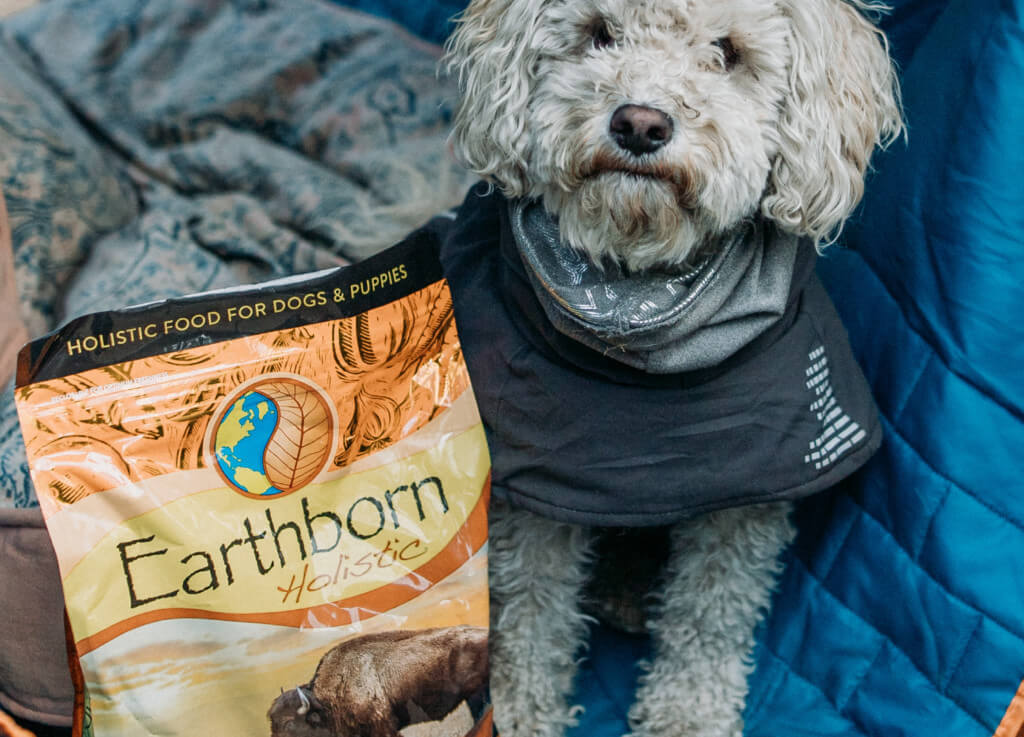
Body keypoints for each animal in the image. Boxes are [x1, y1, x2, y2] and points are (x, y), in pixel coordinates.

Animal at [444, 1, 901, 737]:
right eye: (600, 33)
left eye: (727, 51)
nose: (640, 123)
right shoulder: (538, 495)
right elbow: (528, 609)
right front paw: (516, 709)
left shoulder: (747, 497)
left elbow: (711, 614)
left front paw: (687, 714)